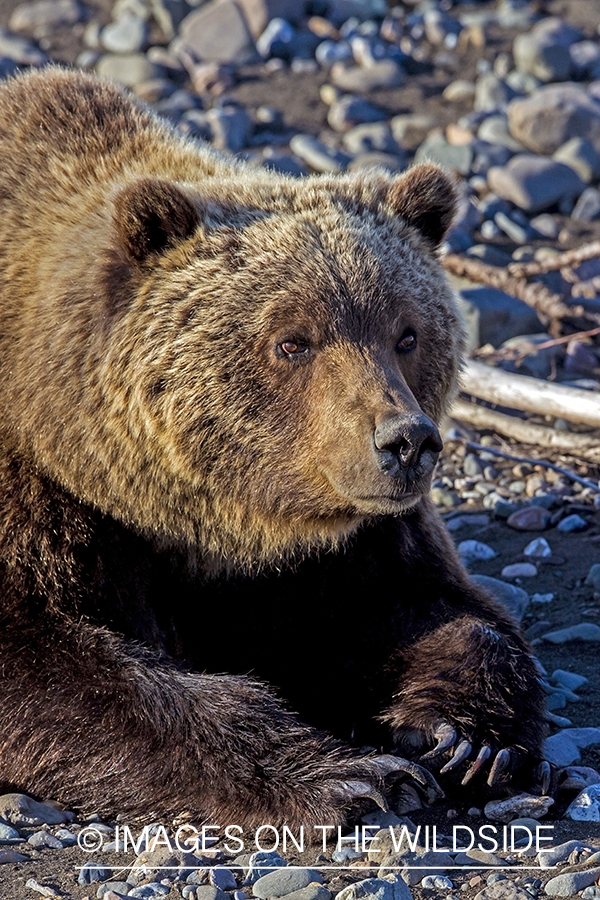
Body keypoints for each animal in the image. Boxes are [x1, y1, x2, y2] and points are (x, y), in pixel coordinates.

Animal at [0, 67, 548, 829]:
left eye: (406, 333)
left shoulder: (333, 546)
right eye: (293, 341)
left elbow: (435, 608)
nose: (405, 442)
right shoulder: (48, 503)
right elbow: (53, 665)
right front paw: (355, 775)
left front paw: (462, 736)